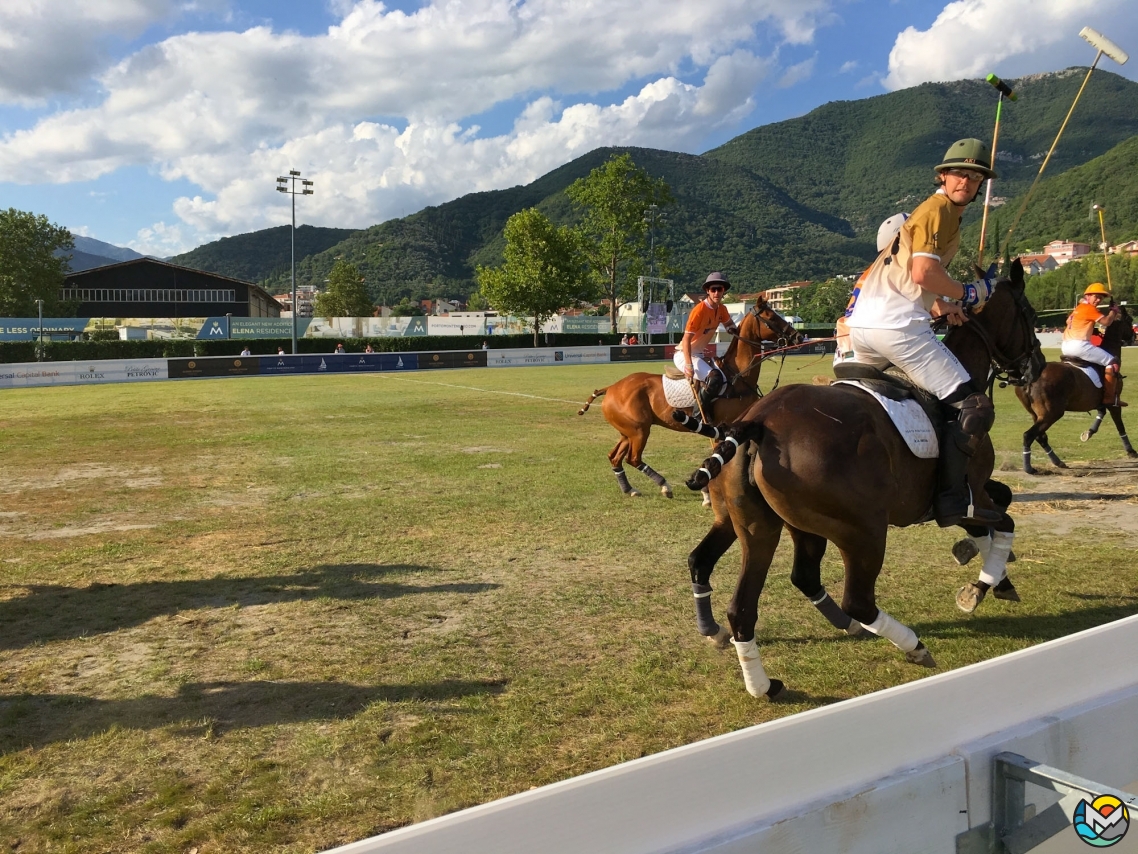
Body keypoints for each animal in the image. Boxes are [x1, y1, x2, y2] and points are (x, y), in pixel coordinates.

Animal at [578, 298, 801, 505]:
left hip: (628, 430)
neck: (737, 375)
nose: (799, 336)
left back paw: (629, 489)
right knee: (633, 458)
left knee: (615, 456)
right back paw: (665, 486)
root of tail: (611, 388)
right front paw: (708, 494)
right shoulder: (723, 425)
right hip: (639, 430)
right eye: (772, 317)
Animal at [678, 263, 1042, 701]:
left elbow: (999, 508)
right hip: (862, 530)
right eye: (1030, 315)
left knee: (746, 602)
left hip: (763, 526)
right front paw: (984, 584)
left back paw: (764, 683)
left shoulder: (966, 496)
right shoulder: (967, 493)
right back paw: (912, 645)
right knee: (857, 599)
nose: (1037, 366)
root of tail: (757, 422)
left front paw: (989, 569)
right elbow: (1004, 519)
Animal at [1019, 302, 1133, 478]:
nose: (1133, 337)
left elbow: (1101, 412)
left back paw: (1058, 462)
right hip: (1052, 413)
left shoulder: (1098, 401)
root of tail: (1030, 377)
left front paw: (1089, 432)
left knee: (1040, 436)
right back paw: (1029, 468)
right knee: (1029, 435)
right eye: (1130, 320)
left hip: (1036, 414)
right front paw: (1131, 451)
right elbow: (1120, 425)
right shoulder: (1114, 402)